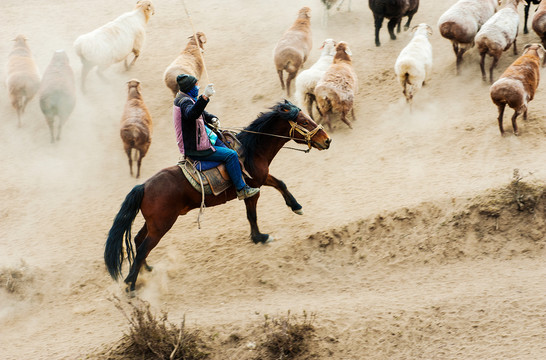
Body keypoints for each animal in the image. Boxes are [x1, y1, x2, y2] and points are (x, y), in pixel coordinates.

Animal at [104, 100, 330, 292]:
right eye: (304, 121)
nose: (327, 140)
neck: (251, 151)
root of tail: (143, 186)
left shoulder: (261, 178)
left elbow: (280, 184)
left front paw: (296, 206)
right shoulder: (251, 189)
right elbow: (252, 215)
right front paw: (260, 237)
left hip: (153, 223)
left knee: (138, 240)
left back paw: (145, 269)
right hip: (161, 225)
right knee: (143, 248)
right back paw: (131, 285)